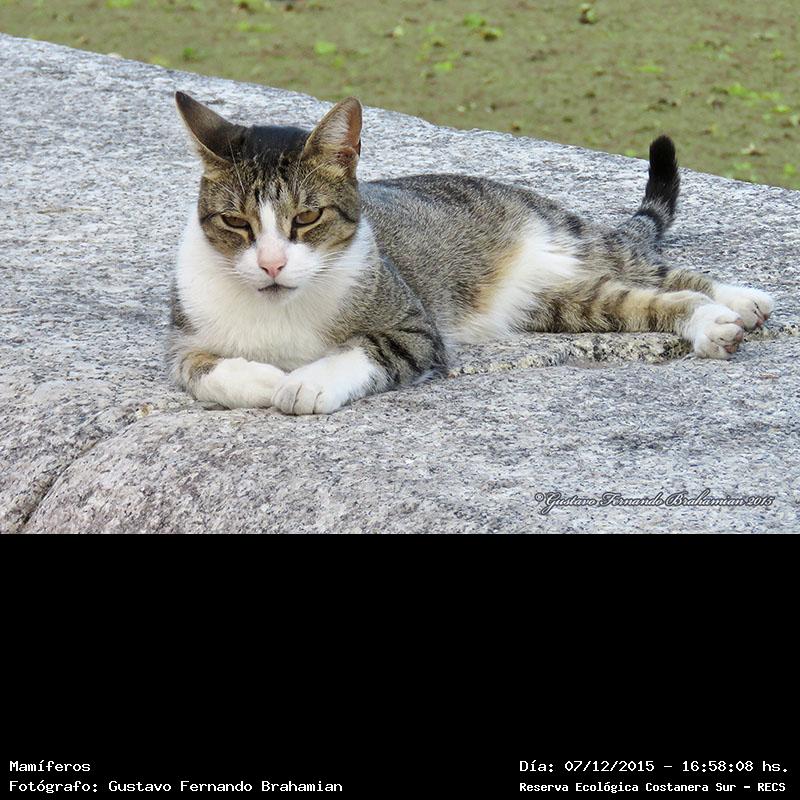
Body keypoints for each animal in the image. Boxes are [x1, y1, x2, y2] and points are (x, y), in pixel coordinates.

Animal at [170, 92, 775, 415]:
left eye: (306, 218)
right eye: (235, 222)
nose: (271, 264)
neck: (278, 310)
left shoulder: (414, 329)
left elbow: (361, 349)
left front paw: (305, 381)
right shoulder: (184, 342)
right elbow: (202, 373)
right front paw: (264, 379)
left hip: (576, 239)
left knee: (666, 271)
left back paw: (739, 303)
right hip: (559, 304)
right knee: (642, 300)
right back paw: (711, 323)